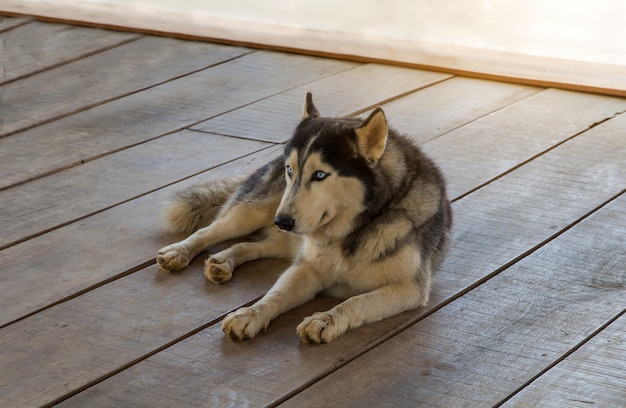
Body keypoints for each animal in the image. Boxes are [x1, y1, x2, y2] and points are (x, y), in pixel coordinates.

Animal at [155, 93, 448, 344]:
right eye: (290, 171)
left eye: (319, 175)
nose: (282, 221)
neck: (356, 228)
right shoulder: (307, 268)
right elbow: (276, 295)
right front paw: (251, 314)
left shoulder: (409, 288)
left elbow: (356, 301)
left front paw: (326, 320)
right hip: (255, 213)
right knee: (211, 230)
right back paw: (180, 252)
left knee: (252, 245)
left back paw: (224, 260)